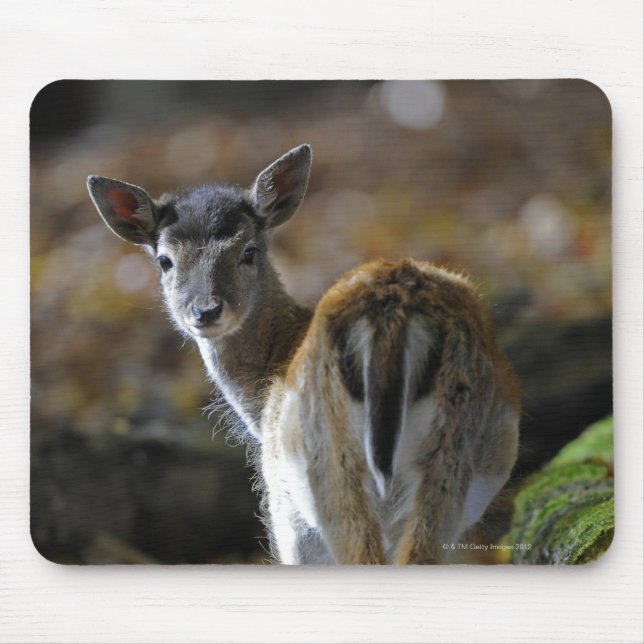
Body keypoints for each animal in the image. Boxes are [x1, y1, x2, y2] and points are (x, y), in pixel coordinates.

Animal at [87, 144, 520, 564]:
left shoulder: (284, 506)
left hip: (317, 471)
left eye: (248, 252)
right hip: (452, 454)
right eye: (165, 260)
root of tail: (392, 320)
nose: (205, 311)